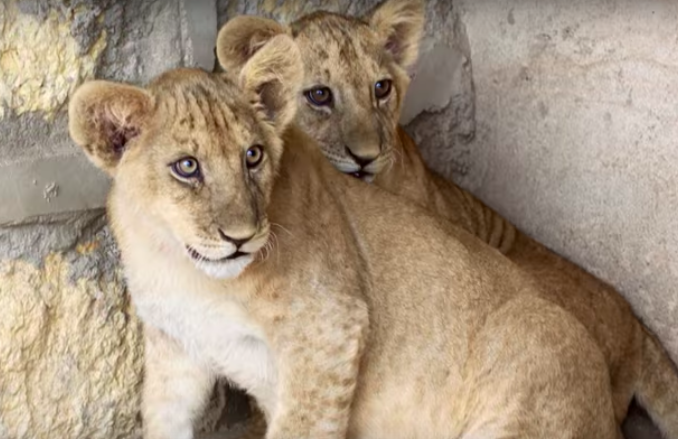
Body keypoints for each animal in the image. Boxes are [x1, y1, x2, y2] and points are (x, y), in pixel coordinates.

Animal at [69, 34, 621, 439]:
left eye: (253, 156)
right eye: (187, 167)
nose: (242, 238)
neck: (179, 266)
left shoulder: (331, 326)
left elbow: (302, 425)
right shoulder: (176, 350)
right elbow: (162, 416)